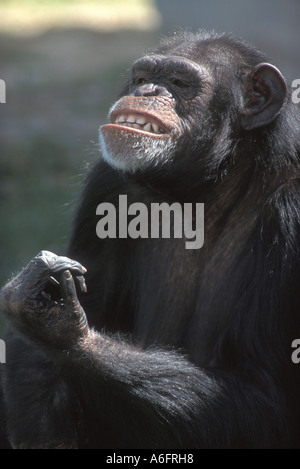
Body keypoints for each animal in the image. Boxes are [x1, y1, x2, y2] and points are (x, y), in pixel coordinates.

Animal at [0, 29, 300, 446]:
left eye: (179, 82)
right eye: (142, 77)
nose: (146, 91)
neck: (212, 184)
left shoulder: (293, 211)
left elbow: (263, 392)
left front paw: (61, 325)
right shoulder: (106, 186)